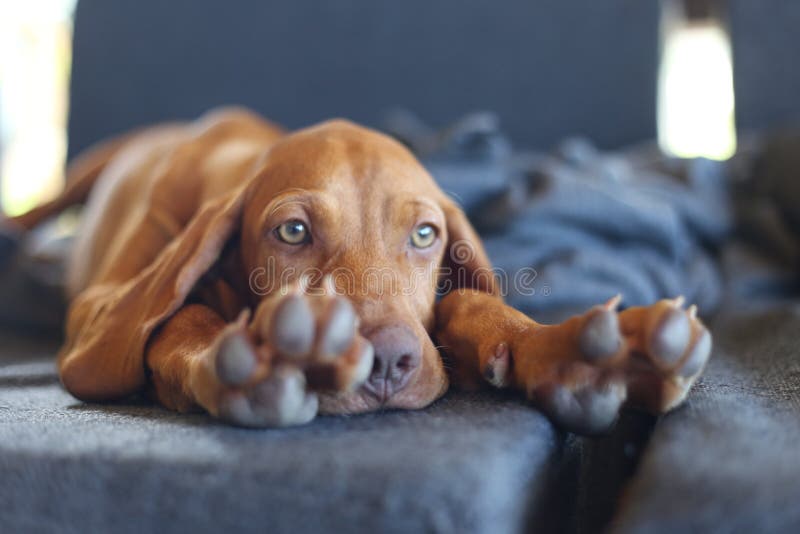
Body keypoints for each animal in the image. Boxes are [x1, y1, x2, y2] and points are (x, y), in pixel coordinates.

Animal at [10, 109, 712, 436]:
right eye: (292, 232)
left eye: (425, 235)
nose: (387, 364)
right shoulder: (97, 311)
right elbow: (183, 314)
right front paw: (249, 363)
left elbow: (470, 307)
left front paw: (579, 355)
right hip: (86, 170)